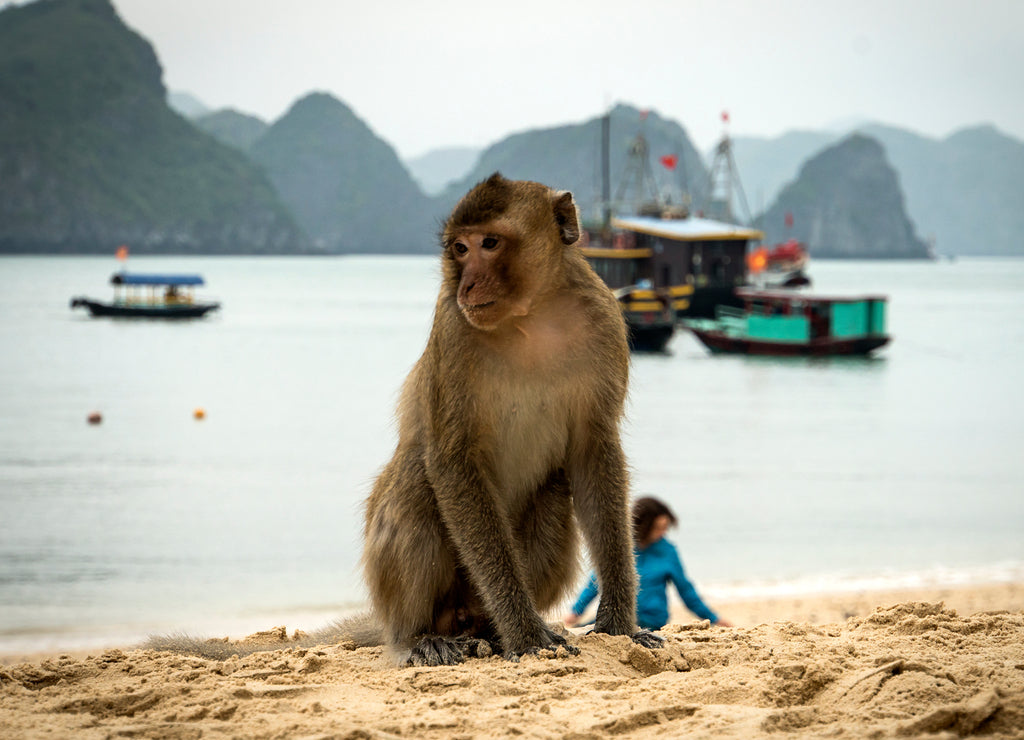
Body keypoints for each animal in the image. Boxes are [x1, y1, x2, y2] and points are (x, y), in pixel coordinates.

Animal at [362, 172, 661, 666]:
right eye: (460, 248)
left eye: (489, 243)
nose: (467, 285)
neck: (532, 315)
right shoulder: (453, 328)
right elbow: (451, 462)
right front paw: (524, 634)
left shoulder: (605, 320)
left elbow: (593, 451)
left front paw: (619, 623)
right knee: (416, 479)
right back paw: (419, 637)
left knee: (553, 494)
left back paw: (490, 631)